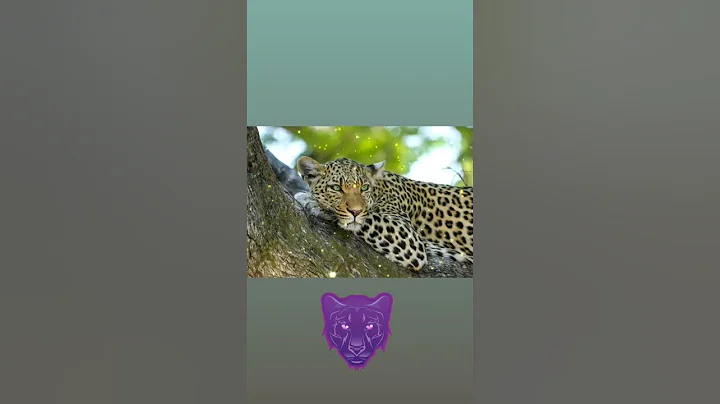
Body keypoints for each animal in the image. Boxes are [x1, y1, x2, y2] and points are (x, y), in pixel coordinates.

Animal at [297, 156, 473, 272]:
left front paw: (312, 201)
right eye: (336, 188)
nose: (355, 211)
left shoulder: (410, 239)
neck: (379, 190)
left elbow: (367, 218)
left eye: (364, 188)